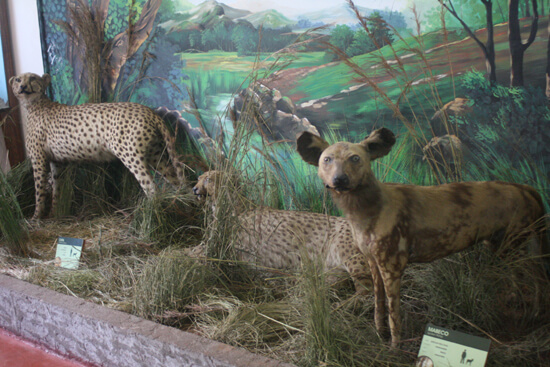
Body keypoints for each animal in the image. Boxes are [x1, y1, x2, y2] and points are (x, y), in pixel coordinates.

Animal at [10, 73, 188, 220]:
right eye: (18, 79)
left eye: (32, 78)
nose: (22, 86)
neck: (35, 105)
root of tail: (149, 111)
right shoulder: (57, 162)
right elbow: (56, 188)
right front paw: (54, 213)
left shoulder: (38, 159)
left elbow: (39, 189)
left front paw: (36, 217)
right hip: (156, 155)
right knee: (175, 180)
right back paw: (181, 207)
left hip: (131, 156)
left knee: (151, 187)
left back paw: (150, 215)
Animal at [192, 171, 374, 294]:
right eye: (199, 178)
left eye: (208, 179)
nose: (194, 188)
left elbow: (196, 253)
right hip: (332, 268)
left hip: (349, 254)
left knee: (366, 290)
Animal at [300, 128, 548, 346]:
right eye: (327, 160)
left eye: (355, 158)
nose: (339, 179)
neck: (366, 212)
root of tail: (525, 188)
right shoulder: (373, 262)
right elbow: (379, 306)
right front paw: (380, 335)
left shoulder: (392, 267)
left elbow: (394, 313)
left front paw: (395, 347)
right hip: (500, 245)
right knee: (518, 275)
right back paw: (516, 304)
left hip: (514, 244)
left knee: (536, 275)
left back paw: (535, 314)